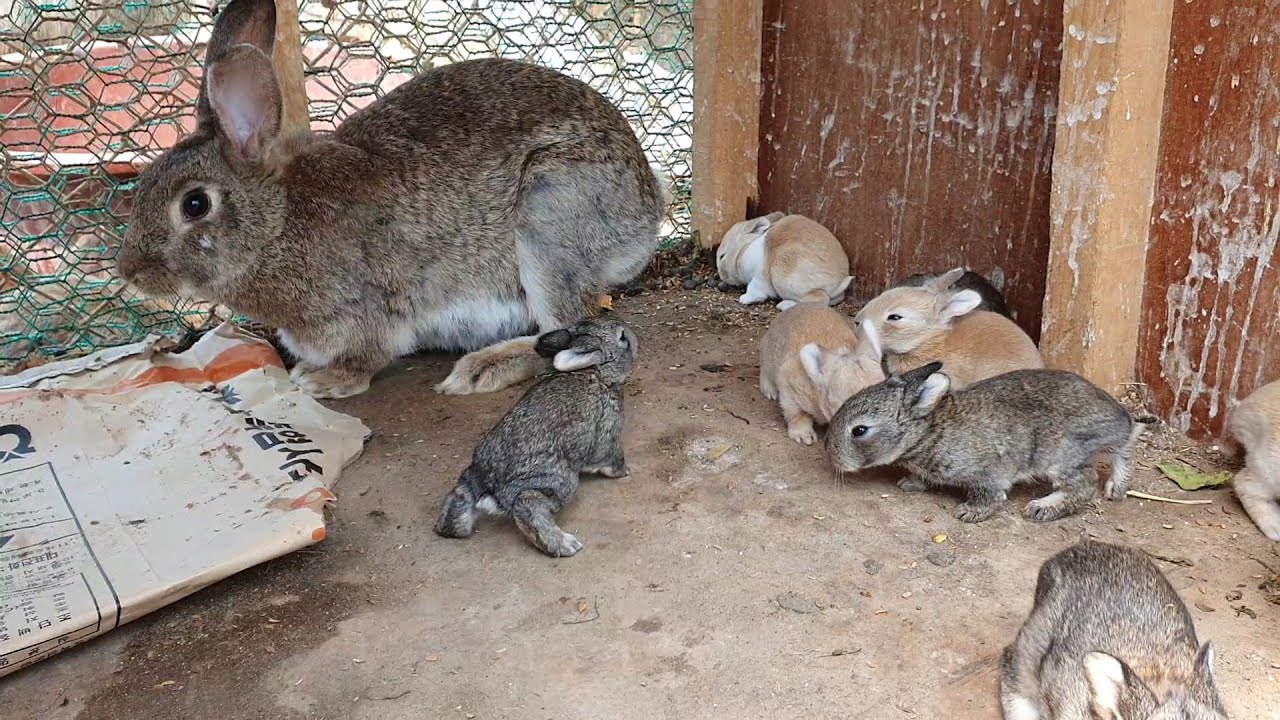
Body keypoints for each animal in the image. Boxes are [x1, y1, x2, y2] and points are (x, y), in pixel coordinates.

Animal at [116, 0, 663, 400]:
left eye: (194, 205)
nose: (130, 272)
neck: (276, 223)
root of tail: (648, 207)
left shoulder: (365, 314)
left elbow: (368, 357)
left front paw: (321, 381)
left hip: (550, 218)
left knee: (572, 327)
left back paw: (481, 369)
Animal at [433, 318, 637, 557]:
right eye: (622, 337)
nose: (633, 336)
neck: (594, 372)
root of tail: (490, 487)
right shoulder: (608, 429)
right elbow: (611, 458)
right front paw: (625, 471)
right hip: (557, 482)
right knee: (528, 504)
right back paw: (564, 544)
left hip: (470, 477)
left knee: (459, 495)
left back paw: (450, 529)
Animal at [715, 212, 853, 310]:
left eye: (722, 256)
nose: (722, 276)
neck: (744, 250)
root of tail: (838, 281)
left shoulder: (759, 278)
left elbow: (754, 290)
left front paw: (744, 299)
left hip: (785, 274)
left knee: (820, 299)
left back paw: (784, 305)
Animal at [824, 362, 1147, 523]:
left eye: (859, 430)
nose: (830, 453)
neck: (930, 431)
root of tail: (1119, 420)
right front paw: (910, 484)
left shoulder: (986, 474)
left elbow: (991, 495)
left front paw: (969, 512)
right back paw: (1117, 488)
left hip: (1061, 455)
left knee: (1085, 483)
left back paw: (1041, 508)